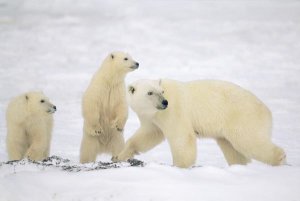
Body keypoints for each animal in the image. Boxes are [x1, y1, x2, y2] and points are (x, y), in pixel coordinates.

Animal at [114, 79, 286, 167]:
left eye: (161, 91)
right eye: (150, 92)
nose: (164, 102)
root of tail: (267, 111)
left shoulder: (174, 111)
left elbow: (182, 137)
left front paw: (180, 166)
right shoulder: (153, 119)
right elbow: (147, 136)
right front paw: (119, 155)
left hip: (243, 118)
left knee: (249, 141)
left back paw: (279, 159)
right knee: (233, 149)